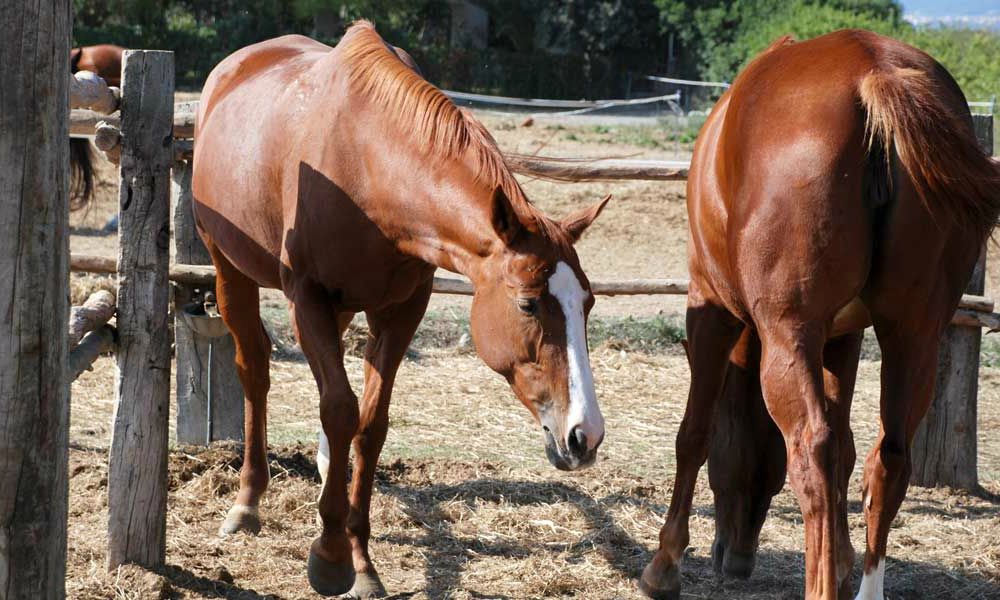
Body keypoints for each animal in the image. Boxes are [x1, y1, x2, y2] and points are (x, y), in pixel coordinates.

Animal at [190, 21, 604, 596]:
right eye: (528, 303)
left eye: (587, 302)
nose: (585, 436)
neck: (368, 167)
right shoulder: (307, 297)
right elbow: (341, 410)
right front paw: (330, 557)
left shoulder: (403, 309)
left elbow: (369, 424)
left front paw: (360, 559)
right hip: (228, 265)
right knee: (254, 369)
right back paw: (247, 503)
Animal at [640, 29, 1000, 600]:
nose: (737, 559)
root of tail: (876, 74)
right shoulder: (842, 338)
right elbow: (849, 448)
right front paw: (845, 559)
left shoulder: (712, 311)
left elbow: (692, 434)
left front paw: (664, 564)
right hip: (914, 334)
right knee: (888, 456)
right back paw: (866, 583)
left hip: (791, 338)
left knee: (814, 449)